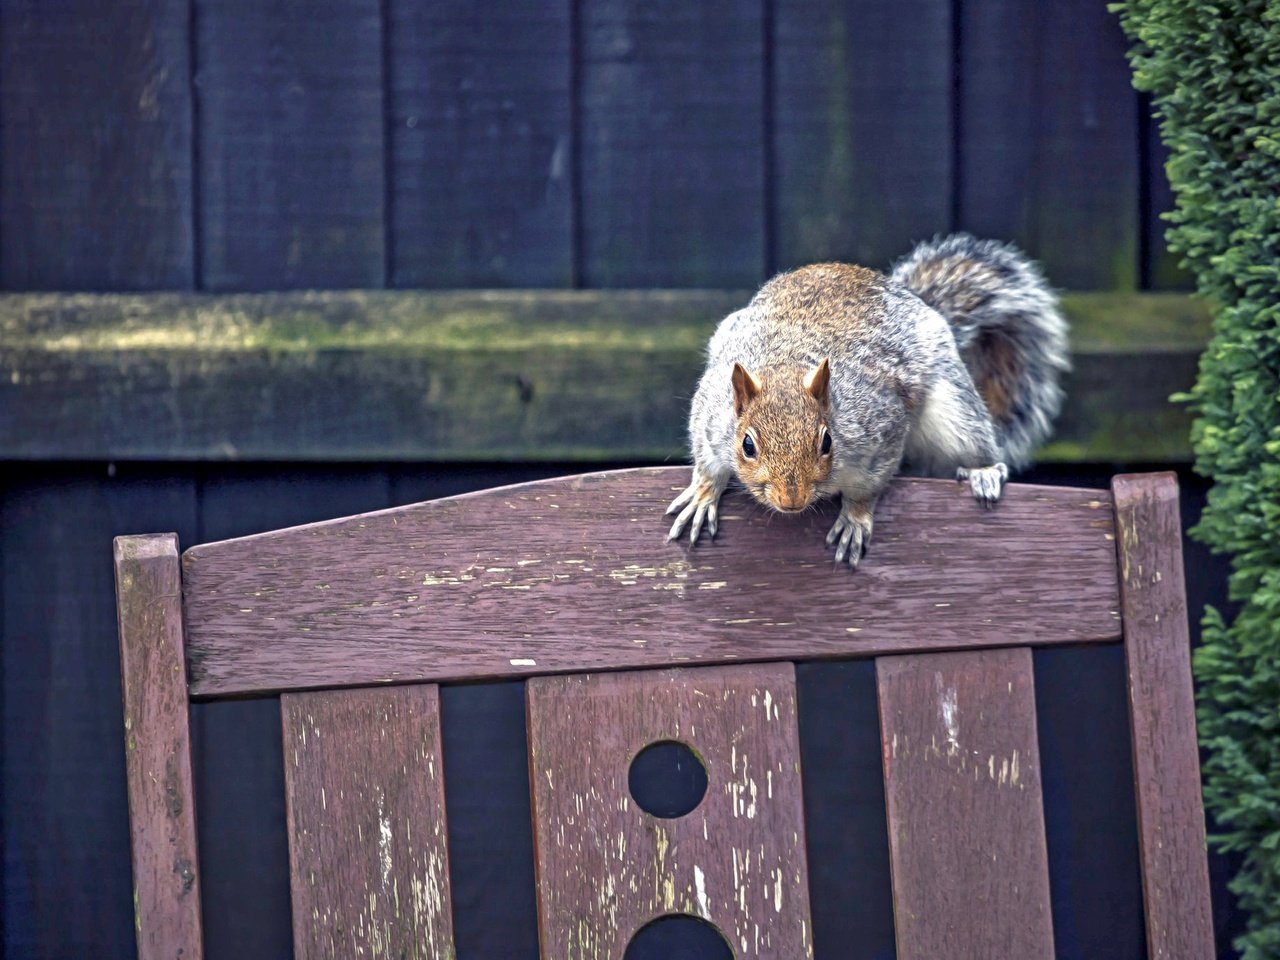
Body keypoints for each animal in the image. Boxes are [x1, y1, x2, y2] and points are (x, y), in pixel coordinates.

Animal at [670, 234, 1070, 568]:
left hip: (954, 409)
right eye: (747, 445)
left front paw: (855, 517)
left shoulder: (880, 429)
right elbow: (707, 463)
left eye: (826, 442)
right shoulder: (711, 418)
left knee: (974, 441)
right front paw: (702, 495)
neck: (787, 364)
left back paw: (983, 472)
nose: (791, 500)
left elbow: (868, 486)